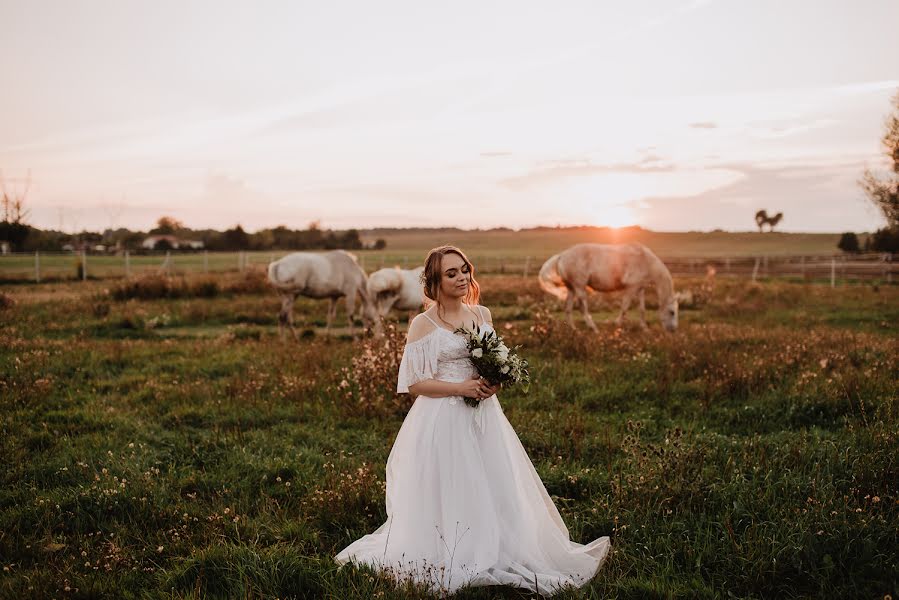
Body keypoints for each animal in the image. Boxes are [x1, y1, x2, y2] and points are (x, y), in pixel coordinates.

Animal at [536, 244, 680, 332]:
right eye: (672, 312)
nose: (673, 330)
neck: (644, 260)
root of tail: (562, 255)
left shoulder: (640, 288)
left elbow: (642, 309)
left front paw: (644, 328)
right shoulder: (631, 288)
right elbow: (625, 307)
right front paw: (617, 324)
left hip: (571, 288)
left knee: (568, 308)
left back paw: (573, 329)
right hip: (579, 287)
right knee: (583, 307)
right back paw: (593, 328)